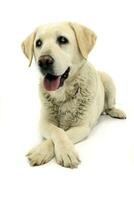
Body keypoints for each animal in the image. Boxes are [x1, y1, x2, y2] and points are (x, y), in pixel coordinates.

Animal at [21, 21, 125, 169]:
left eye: (62, 40)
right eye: (38, 43)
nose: (44, 61)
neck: (63, 94)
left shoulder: (82, 127)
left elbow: (64, 134)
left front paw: (65, 153)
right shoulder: (44, 122)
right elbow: (57, 131)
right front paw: (41, 152)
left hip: (107, 79)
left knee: (109, 106)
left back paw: (116, 112)